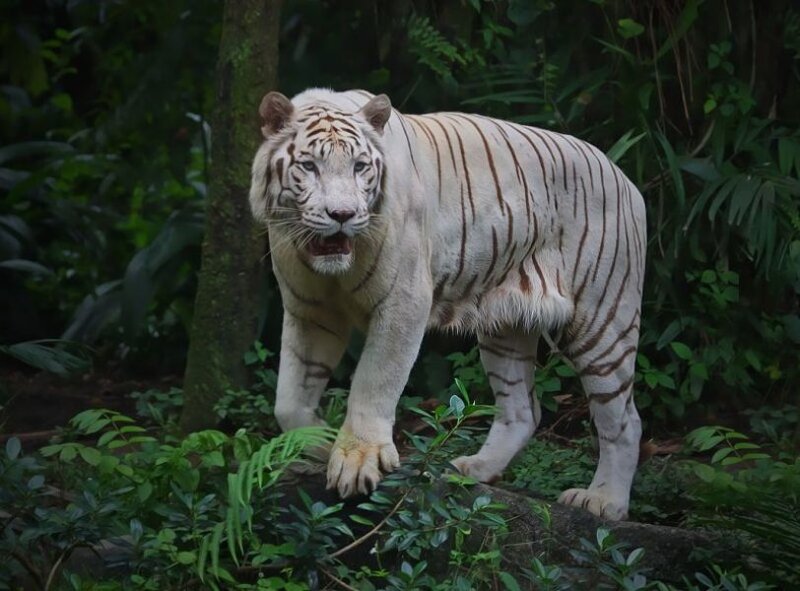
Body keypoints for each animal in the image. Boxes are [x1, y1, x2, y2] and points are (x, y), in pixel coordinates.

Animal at [249, 88, 646, 520]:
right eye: (309, 166)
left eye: (359, 167)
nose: (342, 214)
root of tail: (626, 179)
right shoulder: (310, 311)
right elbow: (289, 401)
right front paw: (319, 444)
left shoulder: (403, 302)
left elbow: (374, 380)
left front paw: (357, 460)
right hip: (505, 327)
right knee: (523, 410)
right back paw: (474, 468)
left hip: (601, 321)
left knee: (625, 419)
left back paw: (604, 501)